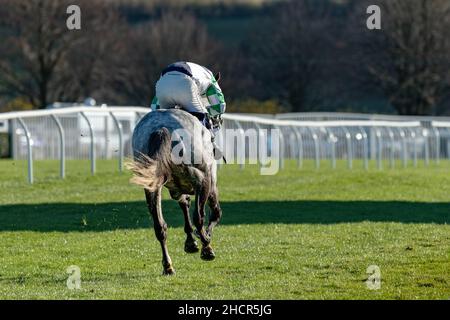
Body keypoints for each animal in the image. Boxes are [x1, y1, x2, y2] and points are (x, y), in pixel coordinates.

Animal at [128, 109, 221, 274]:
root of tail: (160, 128)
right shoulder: (210, 185)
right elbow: (214, 214)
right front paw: (205, 239)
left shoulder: (177, 191)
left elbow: (185, 206)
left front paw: (191, 242)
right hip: (202, 177)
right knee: (199, 217)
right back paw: (206, 247)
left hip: (152, 185)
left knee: (160, 227)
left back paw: (168, 266)